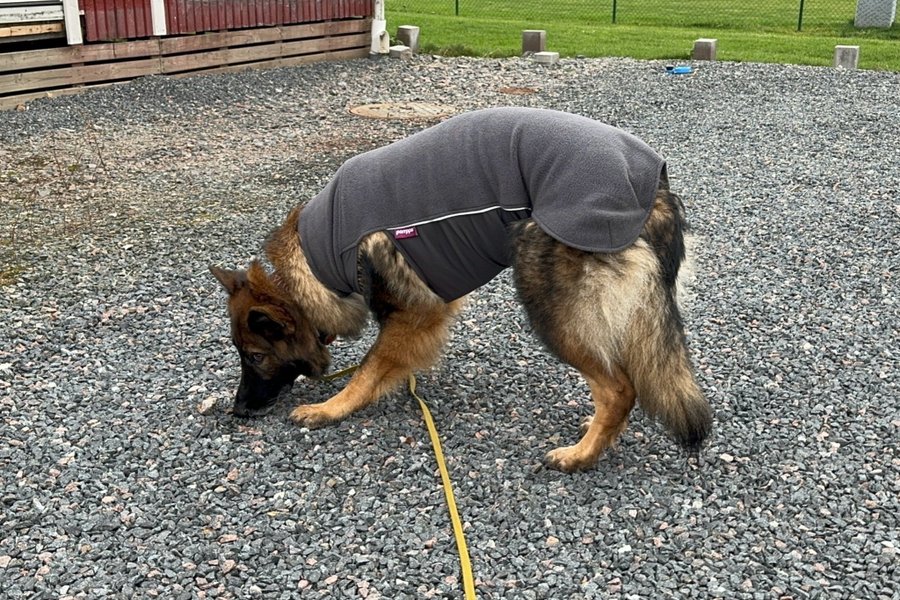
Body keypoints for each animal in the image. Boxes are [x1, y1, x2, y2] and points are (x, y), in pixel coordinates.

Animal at [211, 107, 712, 472]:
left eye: (254, 356)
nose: (237, 410)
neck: (319, 257)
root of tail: (648, 185)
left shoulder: (415, 313)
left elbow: (370, 367)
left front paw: (332, 407)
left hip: (550, 306)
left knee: (619, 388)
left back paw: (581, 455)